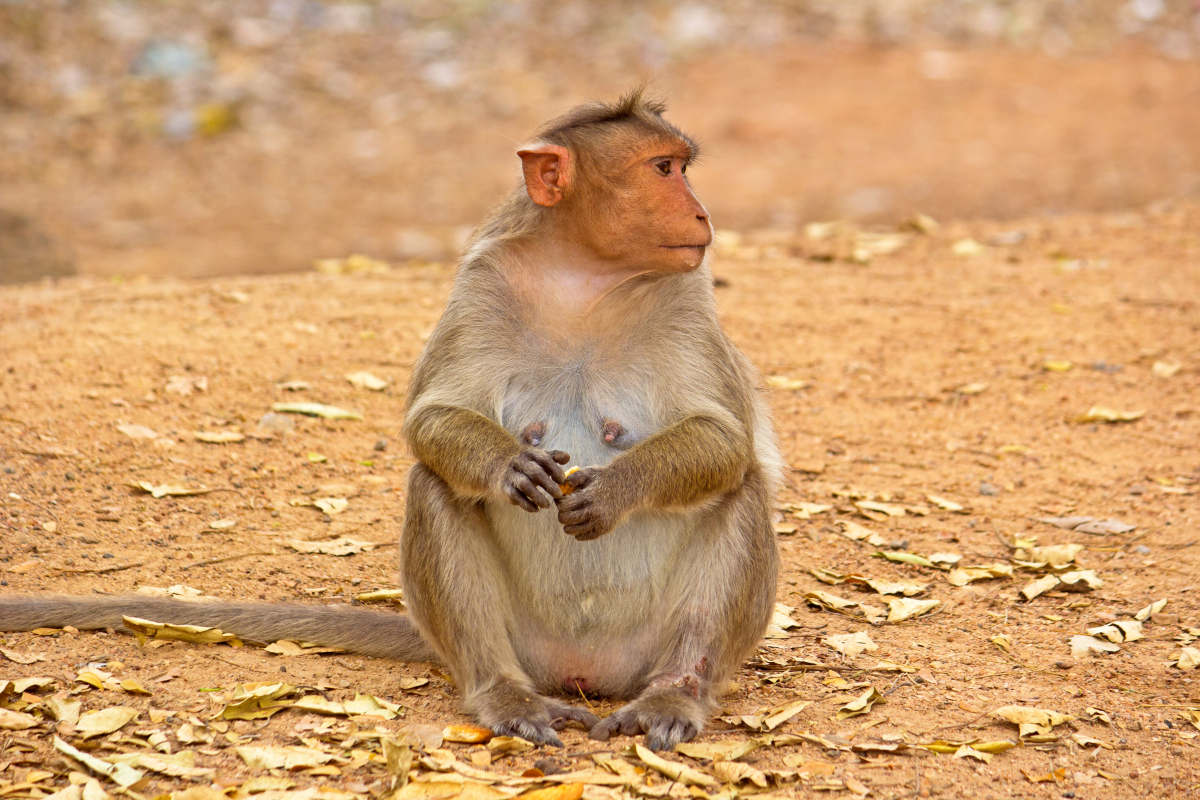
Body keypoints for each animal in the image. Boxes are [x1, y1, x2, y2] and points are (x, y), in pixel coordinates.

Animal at [0, 90, 782, 752]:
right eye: (663, 169)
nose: (702, 214)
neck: (584, 275)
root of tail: (584, 672)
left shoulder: (686, 293)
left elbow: (725, 439)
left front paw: (617, 489)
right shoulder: (482, 283)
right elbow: (432, 420)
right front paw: (507, 464)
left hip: (652, 646)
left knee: (738, 490)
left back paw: (673, 696)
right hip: (518, 643)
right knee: (434, 484)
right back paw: (502, 693)